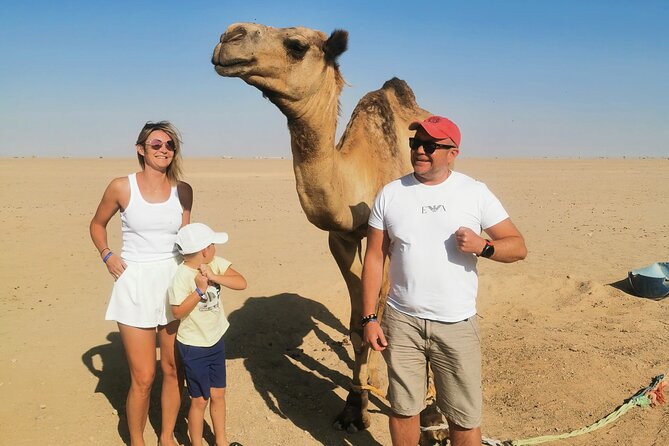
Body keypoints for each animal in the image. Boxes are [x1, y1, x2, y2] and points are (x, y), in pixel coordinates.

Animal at [212, 23, 438, 435]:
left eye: (297, 45)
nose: (229, 36)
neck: (360, 173)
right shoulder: (341, 238)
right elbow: (358, 324)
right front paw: (355, 404)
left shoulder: (389, 240)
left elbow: (377, 313)